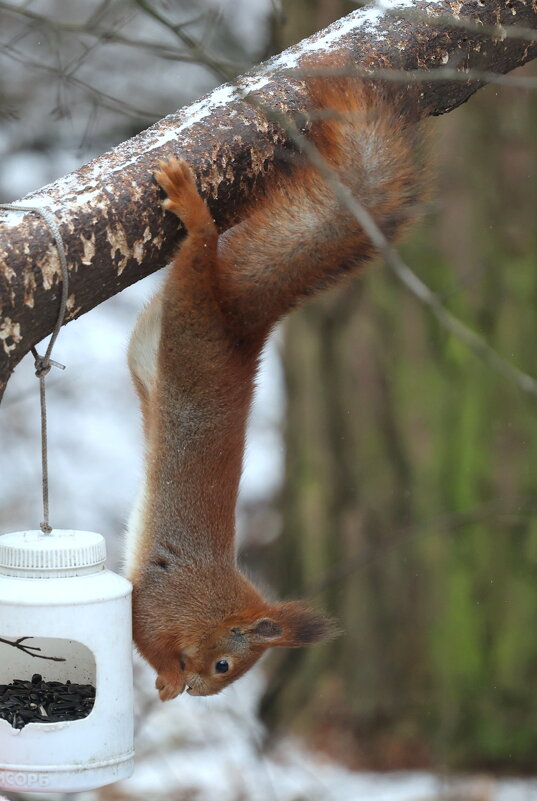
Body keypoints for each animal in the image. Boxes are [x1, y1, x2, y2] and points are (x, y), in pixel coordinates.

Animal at [125, 76, 428, 700]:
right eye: (224, 665)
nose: (200, 692)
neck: (208, 602)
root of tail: (241, 327)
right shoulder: (162, 603)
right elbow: (146, 639)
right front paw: (169, 677)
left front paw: (168, 683)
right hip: (192, 324)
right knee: (199, 252)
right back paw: (193, 208)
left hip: (157, 347)